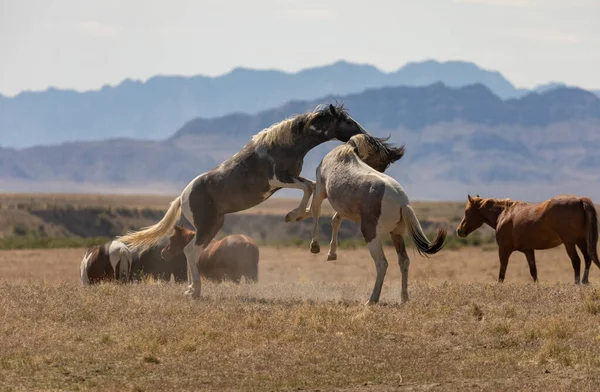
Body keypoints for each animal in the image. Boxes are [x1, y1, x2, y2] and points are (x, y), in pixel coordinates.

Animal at [116, 102, 368, 298]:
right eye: (347, 121)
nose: (365, 136)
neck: (283, 144)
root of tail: (182, 197)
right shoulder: (279, 179)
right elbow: (307, 187)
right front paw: (293, 215)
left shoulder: (290, 178)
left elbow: (312, 186)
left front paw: (298, 215)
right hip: (207, 226)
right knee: (190, 251)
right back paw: (195, 290)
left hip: (213, 225)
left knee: (190, 251)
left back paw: (190, 289)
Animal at [304, 133, 446, 304]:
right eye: (382, 161)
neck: (344, 154)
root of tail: (402, 203)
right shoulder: (344, 208)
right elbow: (335, 220)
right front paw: (331, 254)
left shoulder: (320, 190)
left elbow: (316, 211)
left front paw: (315, 246)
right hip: (397, 234)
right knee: (404, 261)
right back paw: (404, 298)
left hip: (371, 234)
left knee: (382, 264)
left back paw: (372, 299)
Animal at [458, 194, 596, 284]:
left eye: (466, 211)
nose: (459, 230)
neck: (504, 214)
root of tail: (579, 199)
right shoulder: (528, 250)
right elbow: (533, 272)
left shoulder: (503, 249)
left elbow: (502, 272)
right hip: (581, 240)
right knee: (587, 258)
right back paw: (585, 282)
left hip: (570, 243)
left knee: (576, 261)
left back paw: (577, 283)